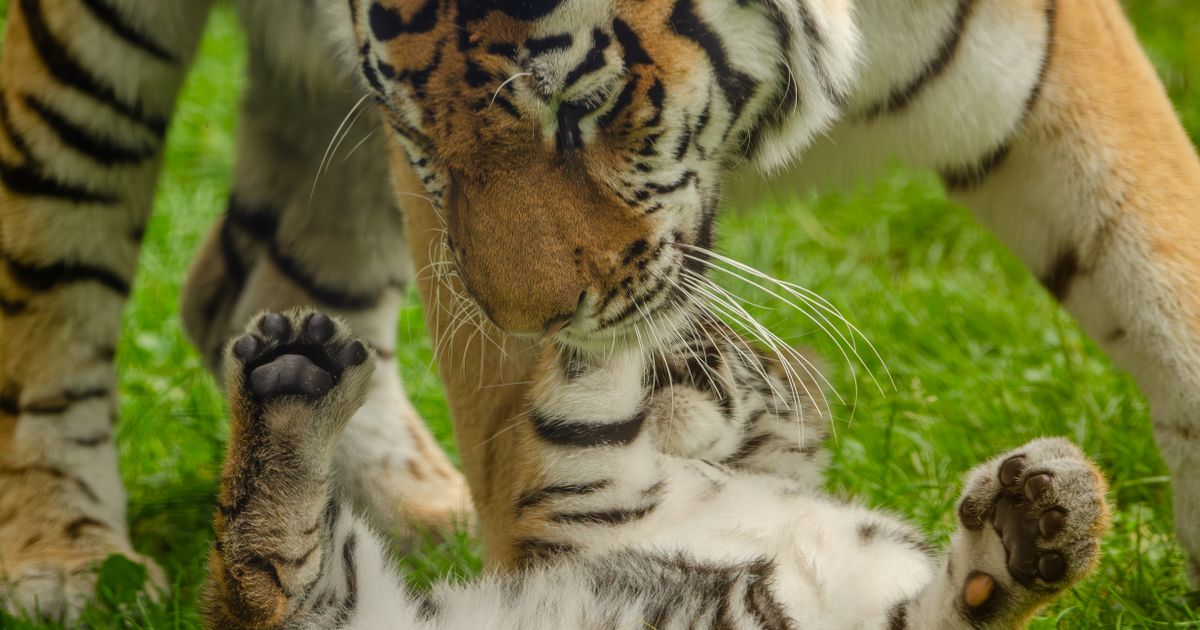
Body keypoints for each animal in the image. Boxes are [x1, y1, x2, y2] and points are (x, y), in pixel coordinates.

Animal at [203, 307, 1110, 629]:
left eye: (738, 350)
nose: (691, 330)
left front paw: (1032, 525)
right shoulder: (581, 487)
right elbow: (588, 392)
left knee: (271, 583)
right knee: (263, 578)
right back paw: (291, 377)